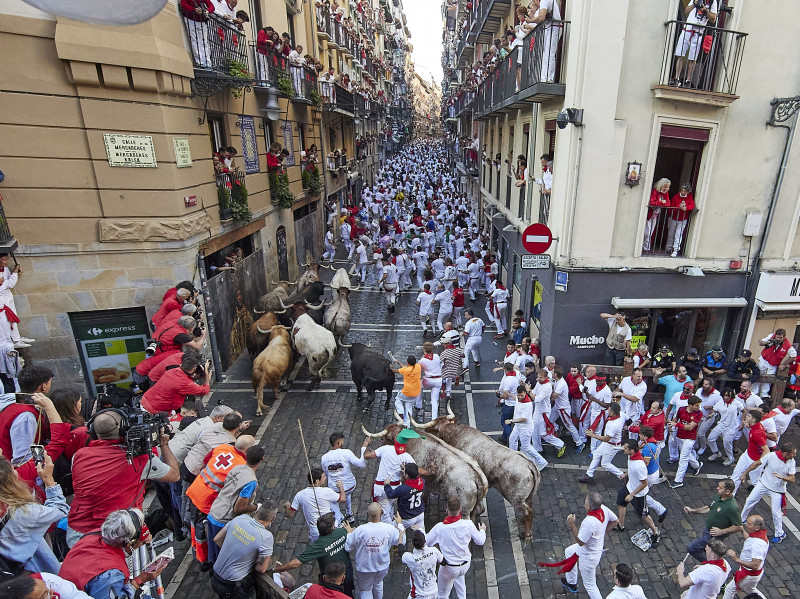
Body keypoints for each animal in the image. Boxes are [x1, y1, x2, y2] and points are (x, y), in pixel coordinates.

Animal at [412, 410, 544, 540]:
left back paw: (526, 534)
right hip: (528, 497)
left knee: (528, 512)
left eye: (433, 429)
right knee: (530, 508)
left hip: (516, 498)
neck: (457, 434)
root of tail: (529, 465)